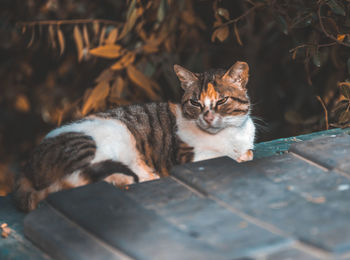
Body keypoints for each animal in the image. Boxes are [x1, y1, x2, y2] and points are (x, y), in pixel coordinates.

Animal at [14, 61, 254, 211]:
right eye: (195, 103)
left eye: (222, 101)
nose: (208, 116)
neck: (228, 135)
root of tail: (27, 167)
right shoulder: (185, 156)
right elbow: (227, 156)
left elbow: (247, 153)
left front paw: (243, 154)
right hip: (93, 145)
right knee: (77, 180)